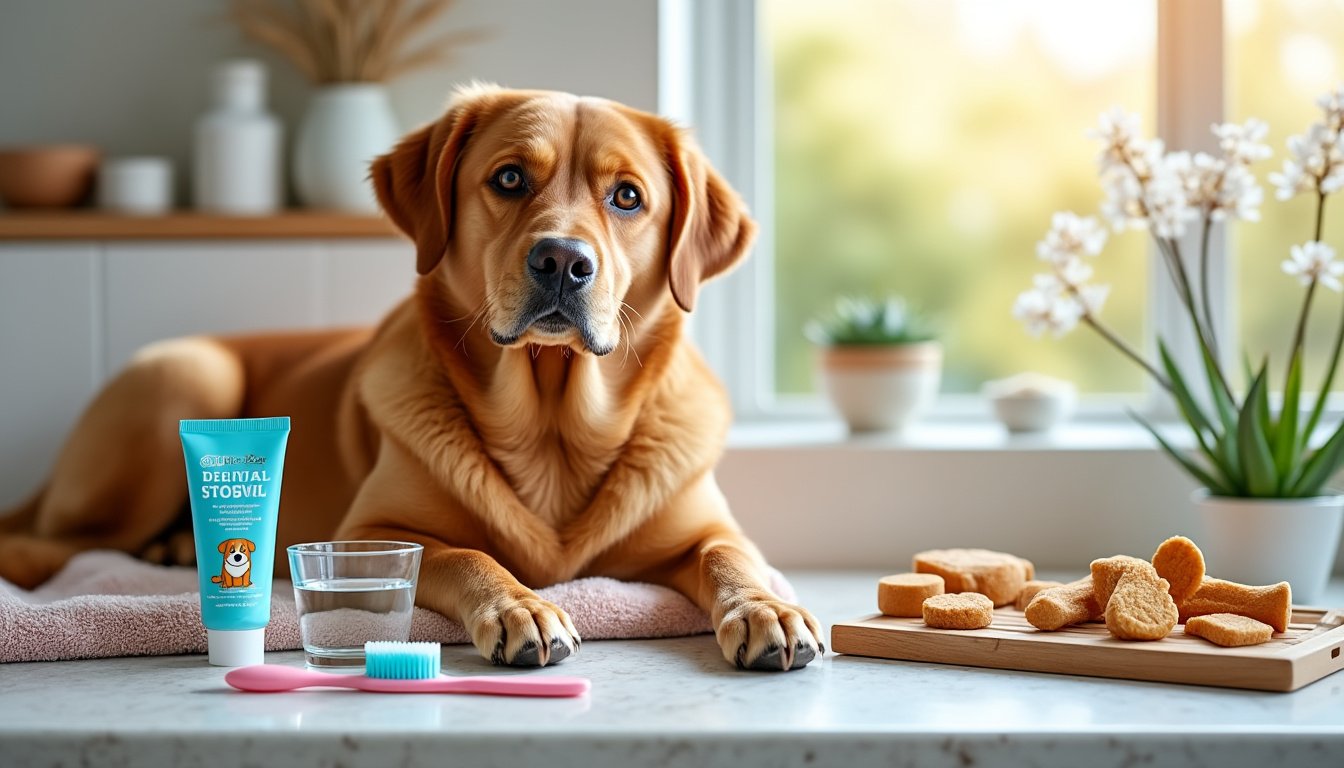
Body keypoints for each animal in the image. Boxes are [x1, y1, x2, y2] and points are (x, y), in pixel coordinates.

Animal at [0, 84, 822, 669]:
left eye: (627, 197)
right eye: (510, 178)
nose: (562, 261)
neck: (553, 424)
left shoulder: (704, 528)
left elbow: (733, 557)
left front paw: (766, 609)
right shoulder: (368, 532)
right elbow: (466, 553)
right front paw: (521, 606)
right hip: (184, 377)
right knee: (56, 545)